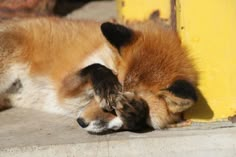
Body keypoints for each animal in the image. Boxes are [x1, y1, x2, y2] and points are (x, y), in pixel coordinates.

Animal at [0, 17, 197, 134]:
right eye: (97, 97)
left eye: (115, 109)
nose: (80, 121)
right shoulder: (65, 88)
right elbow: (95, 67)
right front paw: (107, 84)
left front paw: (135, 113)